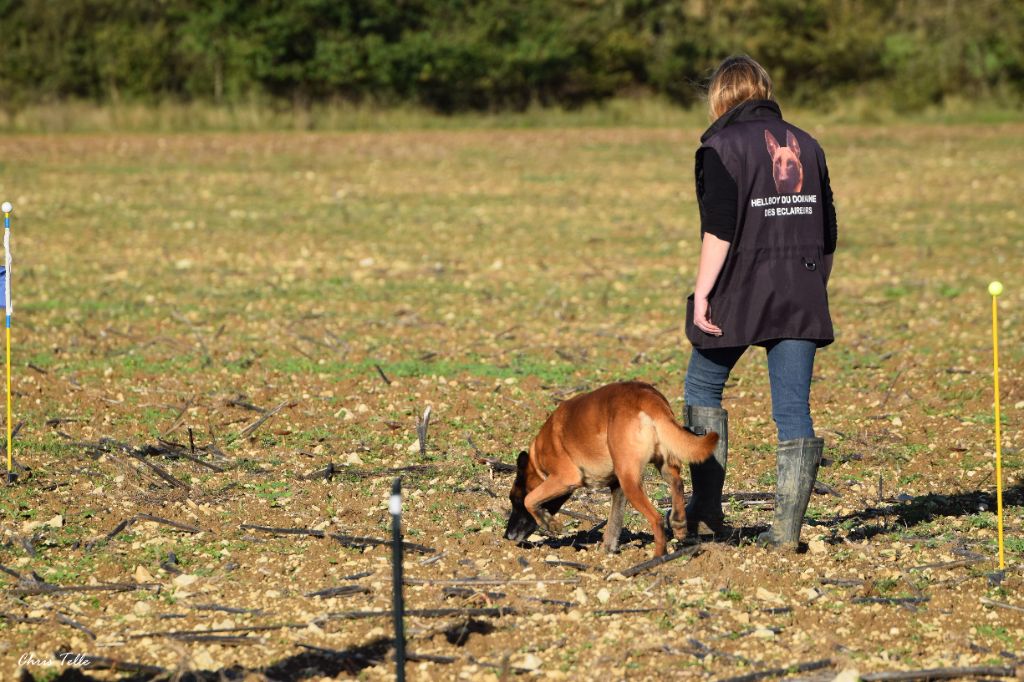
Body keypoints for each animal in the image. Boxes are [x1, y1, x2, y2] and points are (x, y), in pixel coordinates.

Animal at [505, 378, 720, 557]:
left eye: (515, 500)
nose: (506, 536)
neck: (537, 459)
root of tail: (646, 397)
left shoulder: (565, 478)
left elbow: (531, 500)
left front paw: (550, 523)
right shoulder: (617, 487)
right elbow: (614, 522)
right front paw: (607, 550)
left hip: (630, 481)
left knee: (656, 518)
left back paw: (659, 557)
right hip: (660, 466)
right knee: (677, 483)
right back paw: (679, 522)